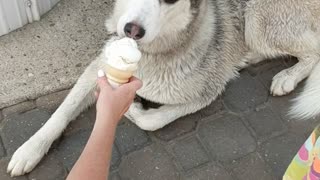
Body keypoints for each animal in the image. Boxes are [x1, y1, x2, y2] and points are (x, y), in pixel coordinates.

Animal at [6, 0, 320, 176]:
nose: (130, 29)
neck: (153, 55)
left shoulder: (208, 90)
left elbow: (153, 120)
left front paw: (133, 110)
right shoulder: (97, 68)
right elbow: (62, 112)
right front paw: (29, 150)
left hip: (258, 23)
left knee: (313, 49)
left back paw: (287, 77)